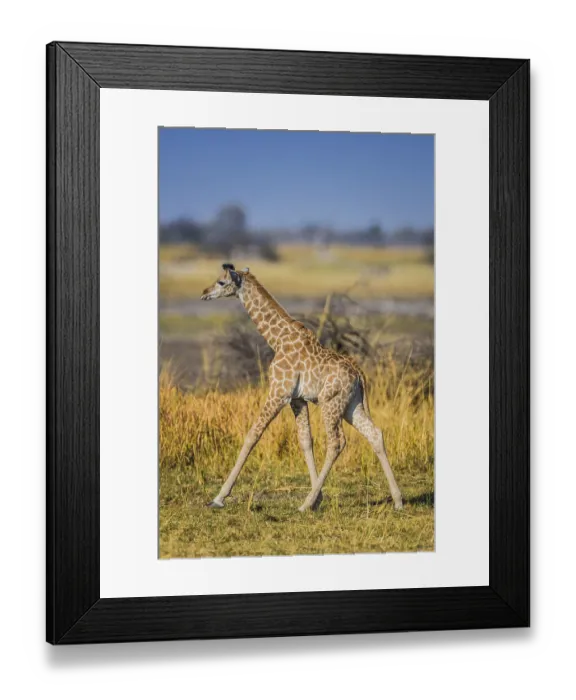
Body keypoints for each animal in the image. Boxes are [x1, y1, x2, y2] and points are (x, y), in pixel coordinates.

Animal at [200, 263, 403, 512]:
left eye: (221, 282)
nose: (204, 292)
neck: (277, 339)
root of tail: (359, 375)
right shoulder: (298, 399)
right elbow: (306, 441)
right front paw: (319, 497)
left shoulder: (278, 392)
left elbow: (252, 435)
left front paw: (219, 497)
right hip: (351, 405)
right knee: (374, 434)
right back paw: (398, 500)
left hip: (330, 403)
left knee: (337, 442)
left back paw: (304, 504)